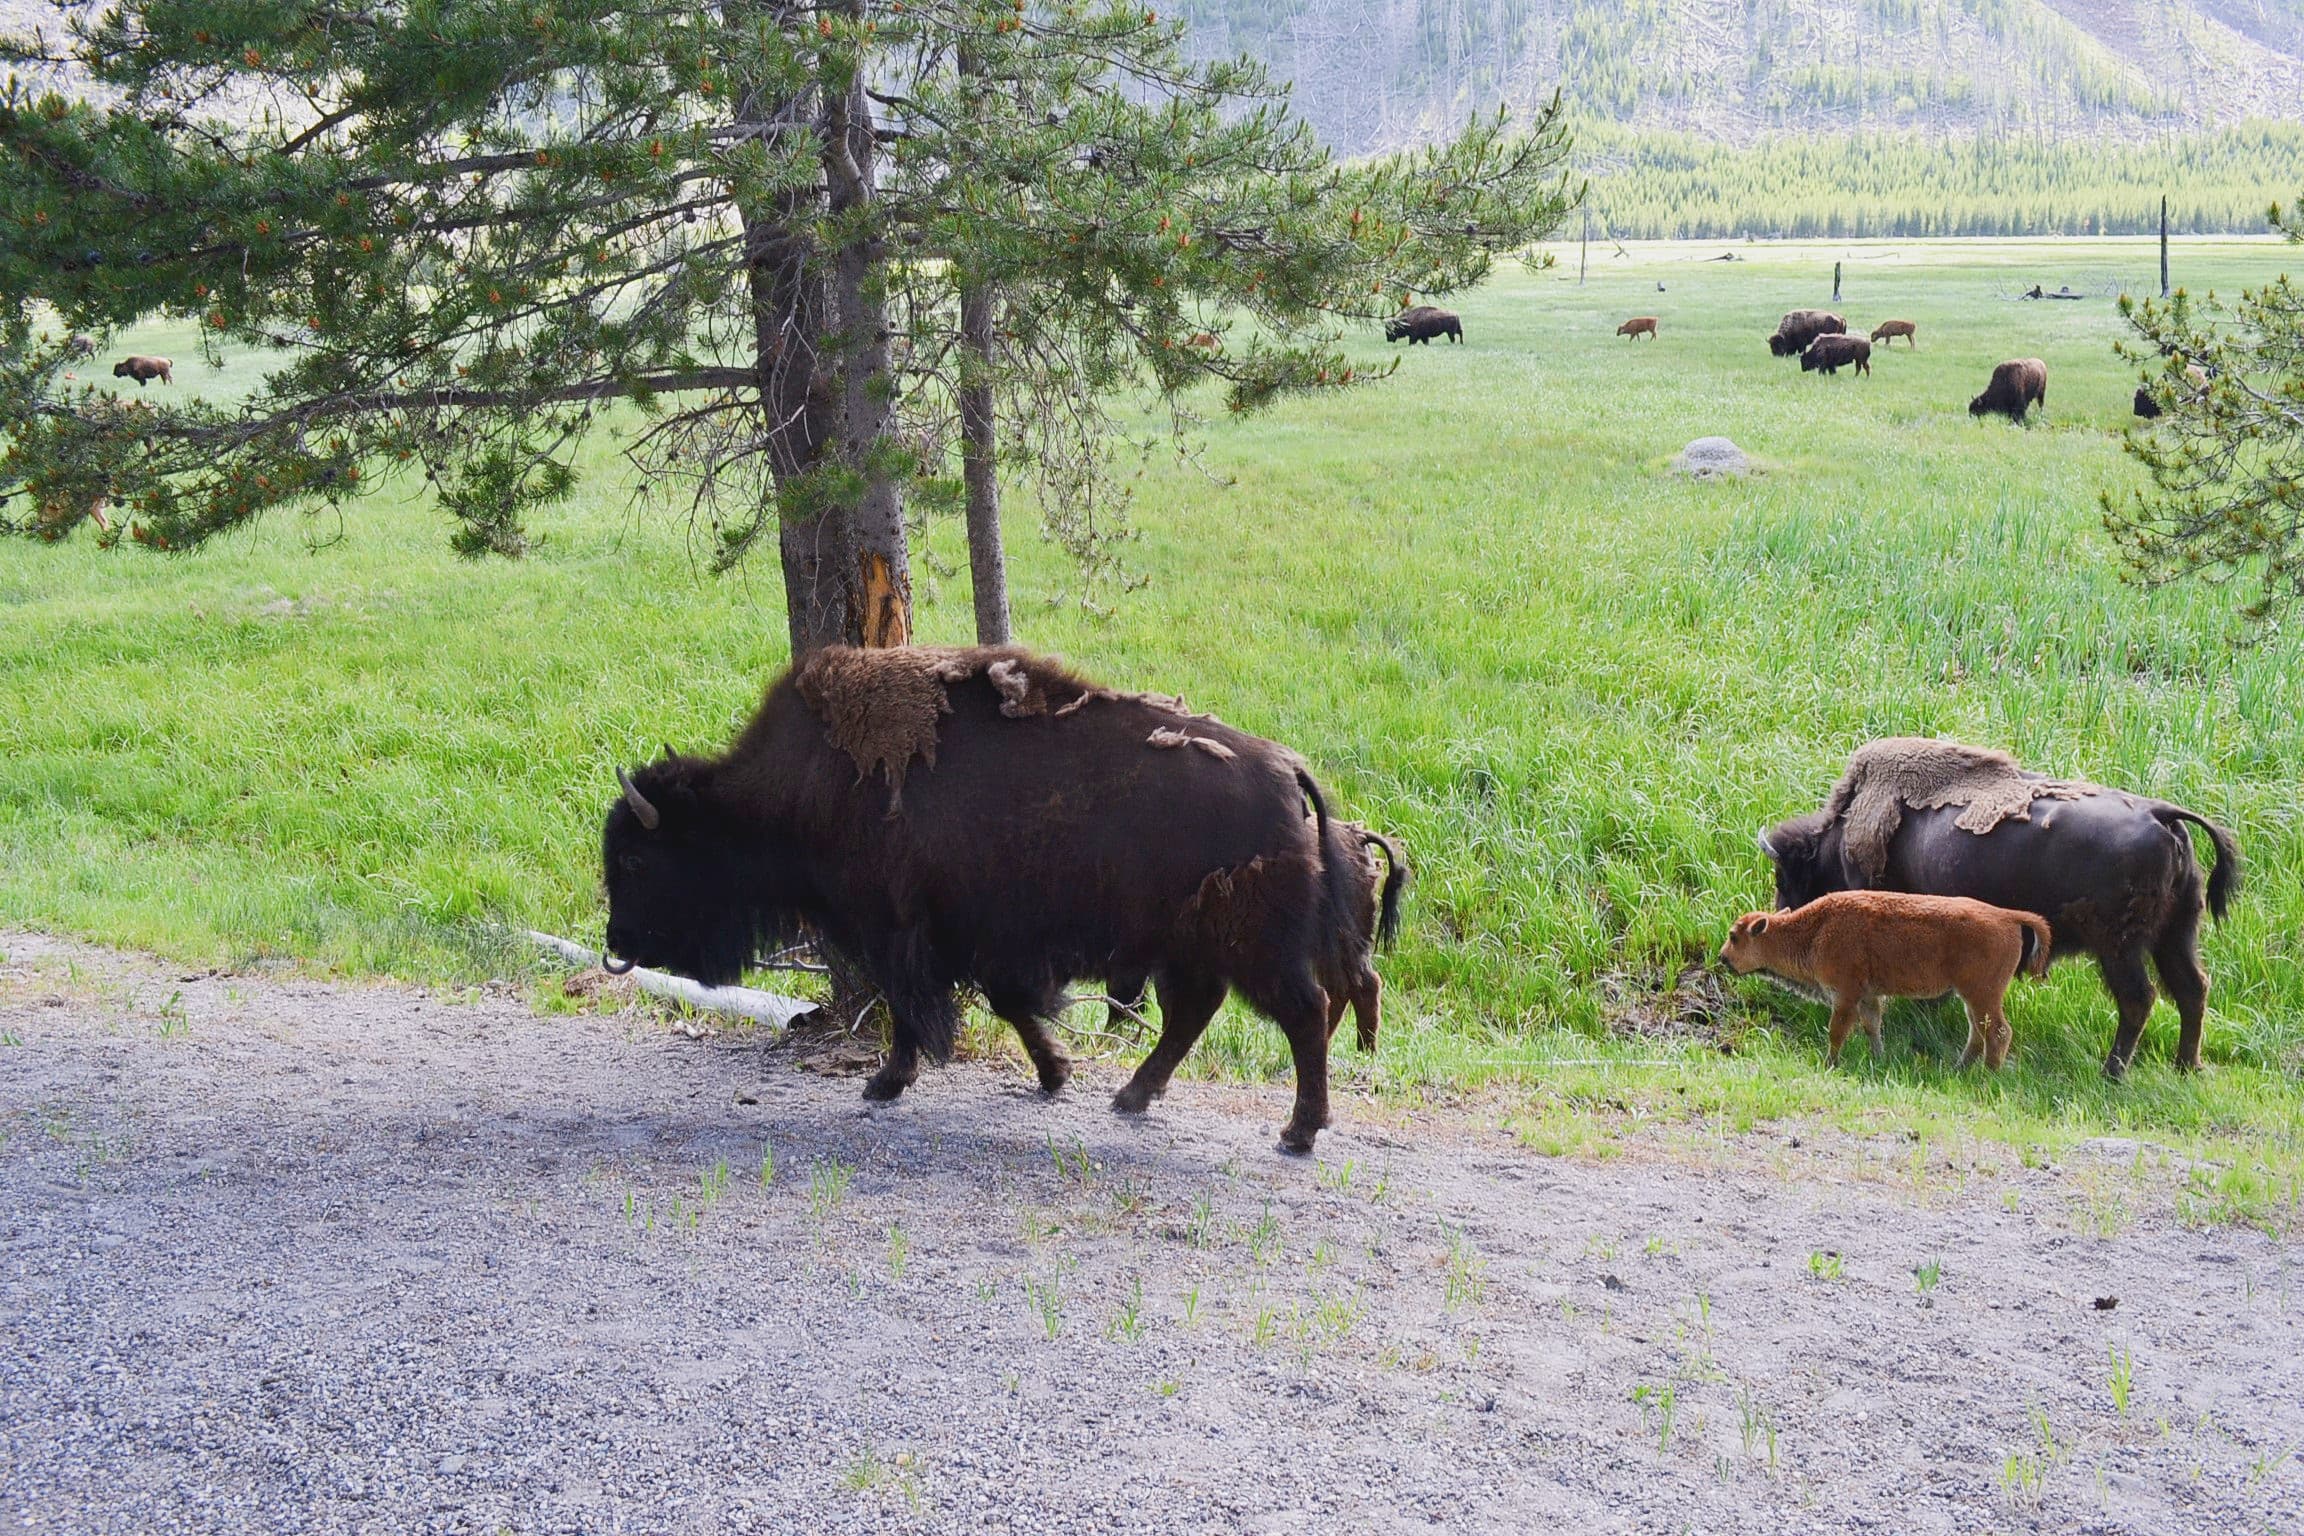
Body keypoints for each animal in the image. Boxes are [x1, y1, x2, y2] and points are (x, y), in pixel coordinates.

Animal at [602, 644, 1391, 1153]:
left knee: (1302, 1014)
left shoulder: (901, 932)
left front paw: (885, 1083)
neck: (796, 792)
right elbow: (1008, 1005)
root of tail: (1287, 773)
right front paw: (1054, 1075)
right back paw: (1132, 1098)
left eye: (637, 859)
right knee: (1196, 1014)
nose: (614, 947)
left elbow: (916, 1007)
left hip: (1251, 951)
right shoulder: (973, 941)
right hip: (1189, 947)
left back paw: (1296, 1133)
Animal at [1761, 741, 2239, 1077]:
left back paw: (2113, 1072)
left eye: (1786, 879)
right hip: (2174, 937)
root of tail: (2162, 814)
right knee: (2192, 989)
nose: (1781, 924)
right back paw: (2185, 1067)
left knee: (2140, 999)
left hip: (2119, 950)